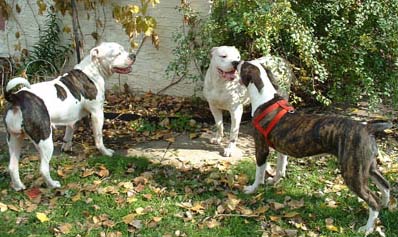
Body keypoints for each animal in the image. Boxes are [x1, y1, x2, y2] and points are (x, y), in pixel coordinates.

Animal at [3, 42, 135, 191]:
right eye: (117, 53)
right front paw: (105, 152)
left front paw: (67, 145)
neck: (92, 70)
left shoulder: (71, 117)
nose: (133, 55)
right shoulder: (97, 113)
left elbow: (70, 129)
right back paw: (53, 184)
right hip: (45, 139)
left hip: (14, 138)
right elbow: (98, 138)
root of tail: (17, 98)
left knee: (12, 166)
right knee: (43, 168)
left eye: (123, 49)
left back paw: (19, 186)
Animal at [236, 58, 392, 234]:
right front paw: (275, 181)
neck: (265, 99)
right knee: (385, 185)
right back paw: (385, 206)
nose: (236, 62)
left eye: (243, 65)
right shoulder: (282, 148)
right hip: (367, 166)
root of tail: (367, 127)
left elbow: (259, 173)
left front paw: (252, 189)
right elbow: (280, 167)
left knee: (372, 199)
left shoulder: (261, 149)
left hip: (353, 173)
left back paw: (367, 228)